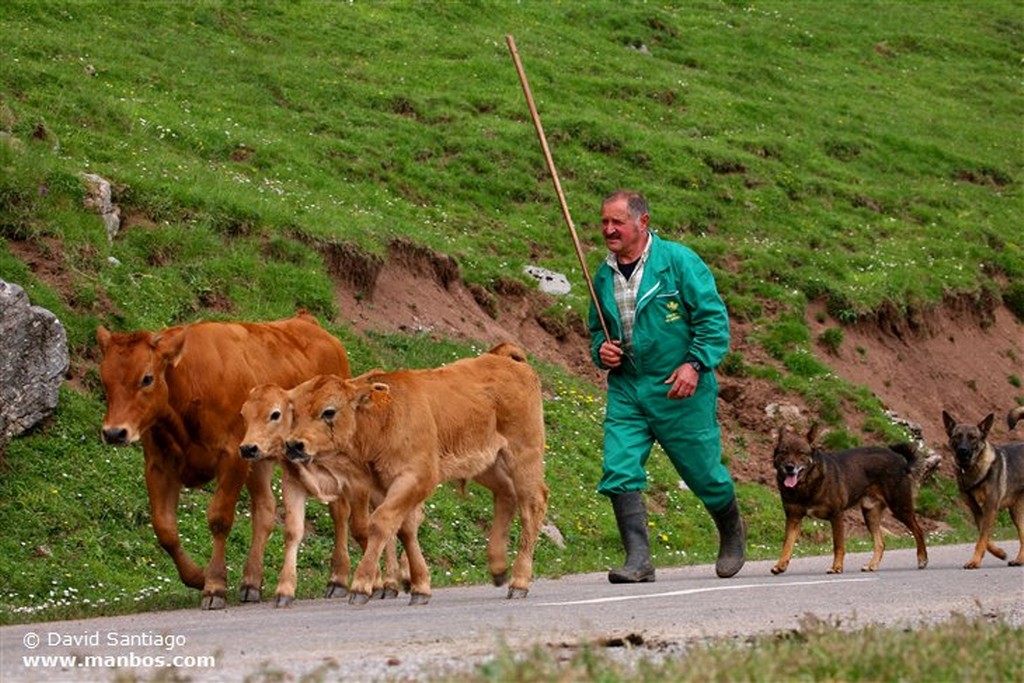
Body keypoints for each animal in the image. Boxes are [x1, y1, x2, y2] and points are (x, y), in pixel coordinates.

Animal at [96, 313, 352, 610]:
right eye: (105, 378)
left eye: (146, 378)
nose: (114, 432)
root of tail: (307, 321)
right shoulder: (159, 464)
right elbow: (164, 528)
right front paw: (198, 576)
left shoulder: (232, 456)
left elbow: (219, 518)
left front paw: (215, 585)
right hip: (259, 458)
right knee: (265, 509)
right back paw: (251, 582)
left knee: (339, 509)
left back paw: (338, 579)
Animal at [237, 385, 401, 610]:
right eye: (243, 414)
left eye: (275, 414)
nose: (247, 448)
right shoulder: (293, 483)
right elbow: (293, 532)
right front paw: (285, 590)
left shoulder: (358, 485)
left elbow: (361, 530)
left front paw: (372, 581)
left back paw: (392, 582)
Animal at [284, 344, 548, 606]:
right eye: (294, 412)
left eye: (329, 411)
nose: (294, 445)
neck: (384, 419)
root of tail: (503, 356)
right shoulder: (383, 485)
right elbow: (404, 529)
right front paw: (419, 585)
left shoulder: (417, 477)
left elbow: (380, 523)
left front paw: (362, 585)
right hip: (486, 464)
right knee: (506, 495)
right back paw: (498, 567)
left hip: (524, 454)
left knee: (532, 505)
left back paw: (519, 581)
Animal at [770, 421, 929, 577]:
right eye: (783, 452)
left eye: (801, 453)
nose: (789, 467)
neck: (807, 484)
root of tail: (901, 463)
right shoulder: (793, 518)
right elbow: (787, 545)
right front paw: (780, 565)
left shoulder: (836, 515)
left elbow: (838, 545)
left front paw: (836, 567)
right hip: (870, 514)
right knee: (880, 543)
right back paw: (872, 565)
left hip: (899, 507)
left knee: (918, 531)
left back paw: (922, 559)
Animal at [942, 409, 1024, 569]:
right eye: (957, 436)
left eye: (973, 438)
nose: (962, 451)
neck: (973, 469)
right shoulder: (976, 510)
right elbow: (983, 536)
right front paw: (999, 553)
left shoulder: (990, 507)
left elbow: (982, 538)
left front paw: (974, 561)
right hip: (1016, 512)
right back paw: (1019, 559)